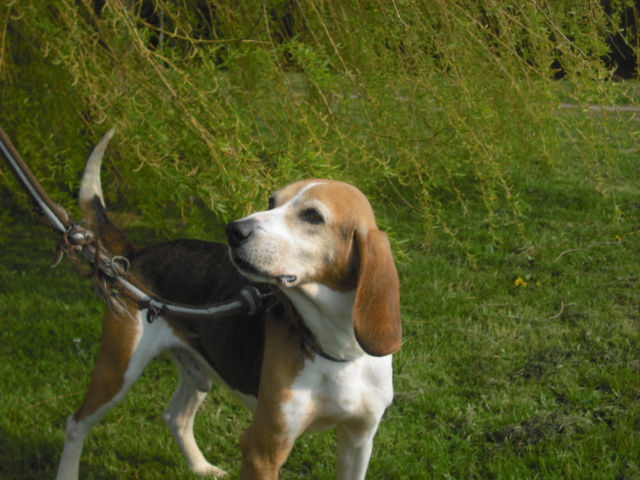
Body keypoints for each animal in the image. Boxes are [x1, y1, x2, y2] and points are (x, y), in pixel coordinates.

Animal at [57, 128, 402, 480]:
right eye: (271, 201)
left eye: (312, 216)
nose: (234, 230)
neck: (338, 352)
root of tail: (137, 254)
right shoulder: (262, 450)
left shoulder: (359, 441)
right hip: (118, 370)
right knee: (76, 424)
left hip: (197, 371)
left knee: (175, 417)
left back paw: (201, 467)